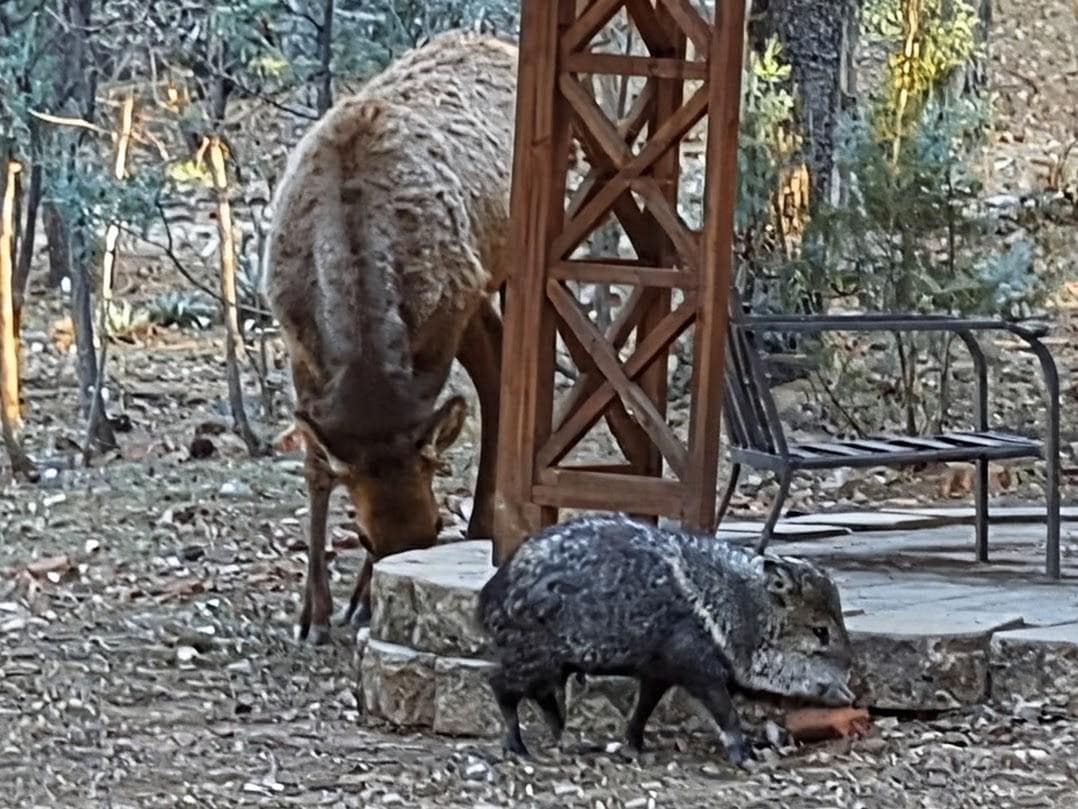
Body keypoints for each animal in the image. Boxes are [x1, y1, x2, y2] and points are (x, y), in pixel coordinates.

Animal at [261, 30, 520, 645]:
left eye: (431, 529)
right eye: (366, 538)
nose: (374, 597)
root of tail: (496, 41)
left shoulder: (437, 335)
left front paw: (350, 604)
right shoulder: (298, 346)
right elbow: (315, 465)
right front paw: (313, 612)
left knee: (497, 376)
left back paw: (482, 520)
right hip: (479, 286)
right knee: (498, 364)